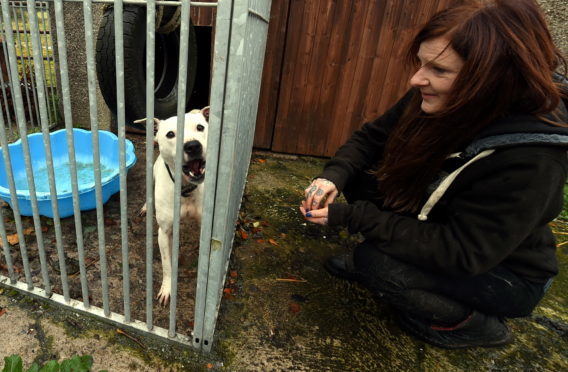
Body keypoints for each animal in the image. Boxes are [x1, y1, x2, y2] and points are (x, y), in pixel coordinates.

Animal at [136, 107, 210, 306]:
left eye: (200, 127)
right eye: (170, 134)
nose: (193, 146)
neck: (186, 189)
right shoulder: (164, 232)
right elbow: (167, 265)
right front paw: (167, 289)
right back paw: (146, 207)